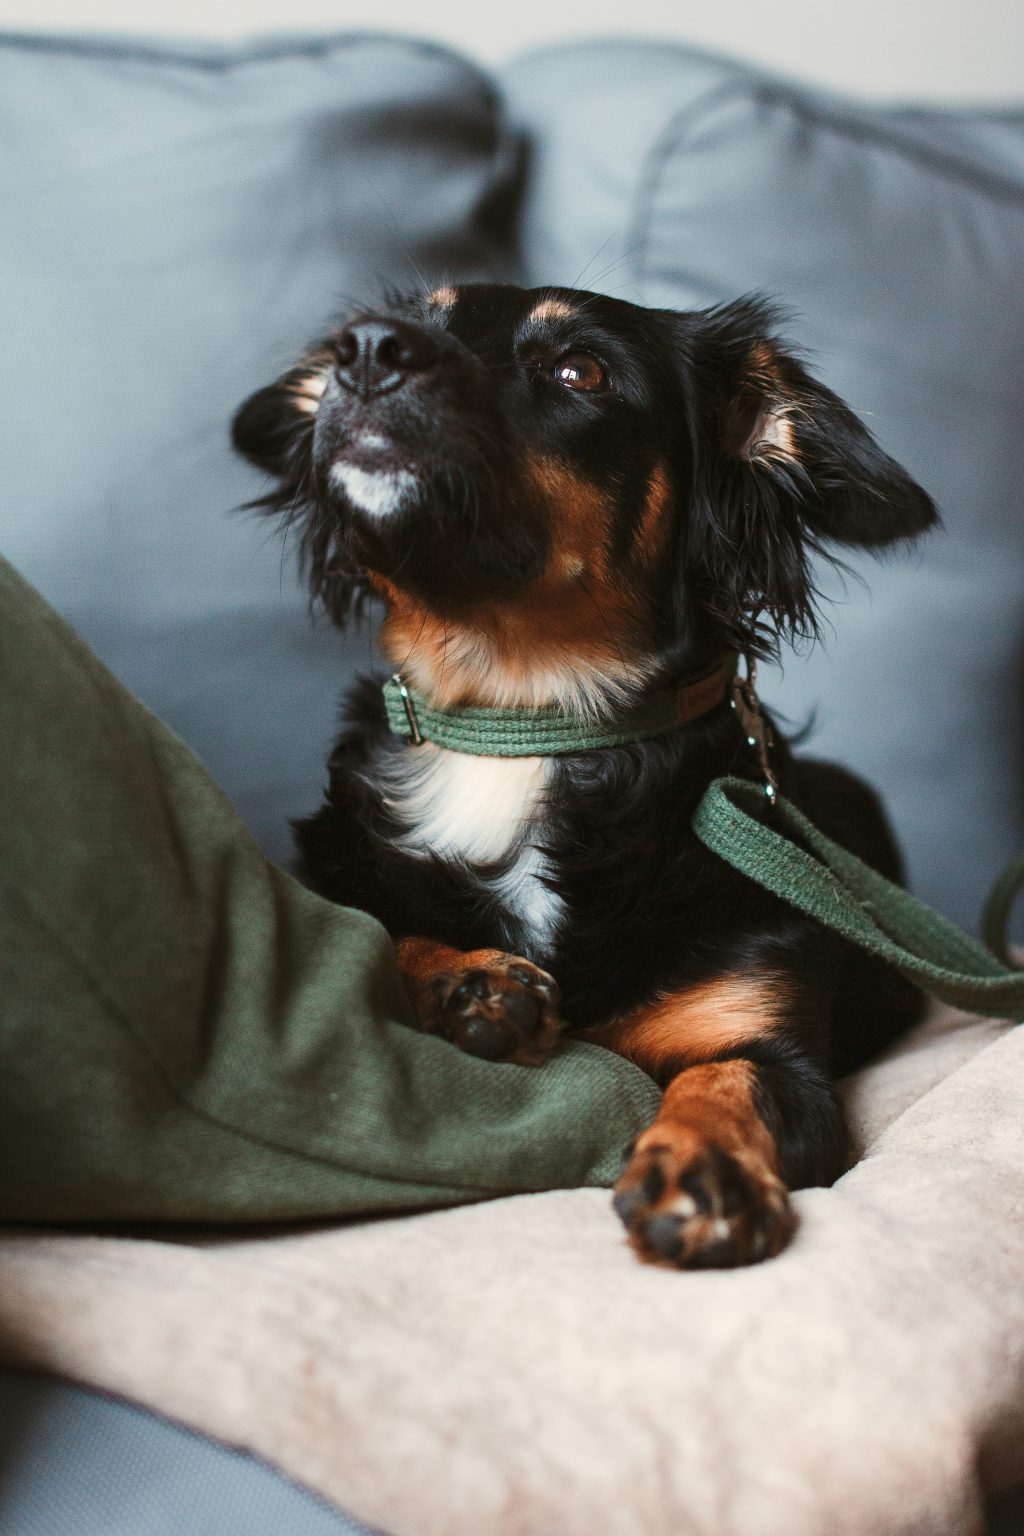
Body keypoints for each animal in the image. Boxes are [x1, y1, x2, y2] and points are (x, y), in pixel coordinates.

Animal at [231, 282, 939, 1265]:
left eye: (581, 371)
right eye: (418, 318)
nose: (366, 349)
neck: (520, 726)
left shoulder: (780, 1055)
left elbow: (727, 1081)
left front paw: (704, 1169)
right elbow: (380, 930)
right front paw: (470, 978)